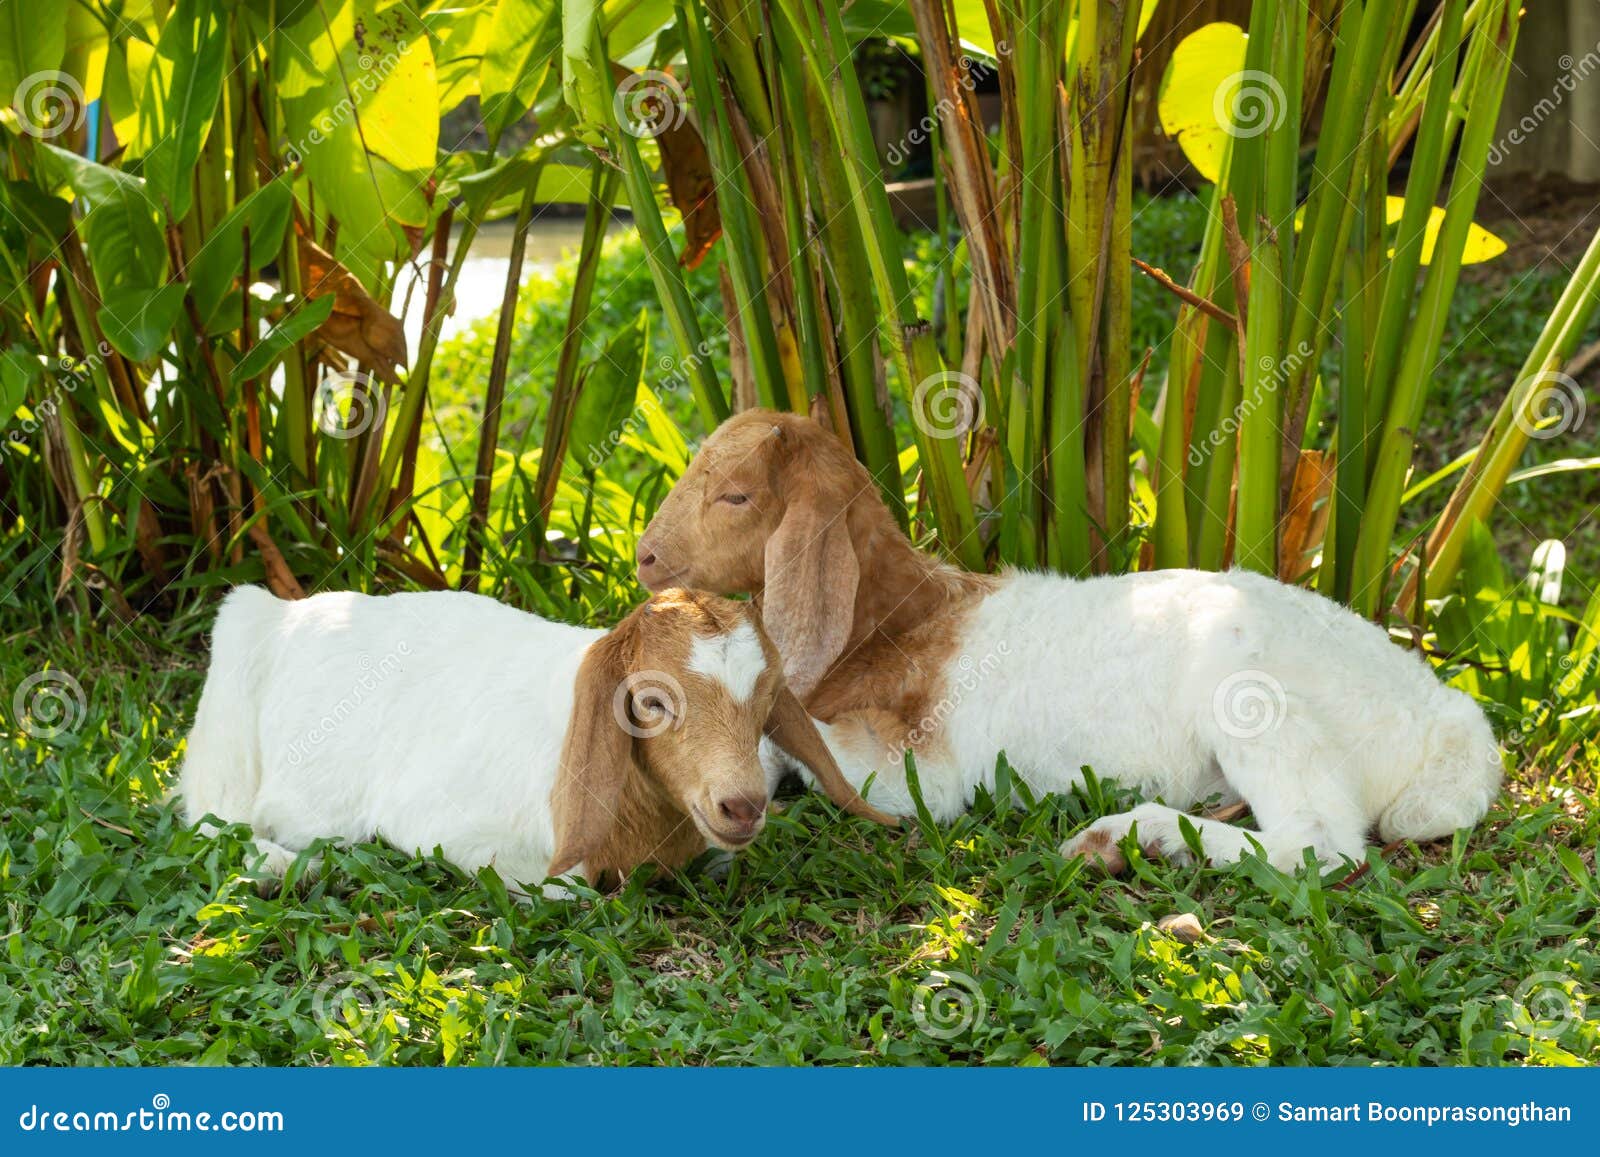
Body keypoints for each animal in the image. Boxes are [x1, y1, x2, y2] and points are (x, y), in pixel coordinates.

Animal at [178, 584, 896, 895]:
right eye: (652, 702)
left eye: (769, 695)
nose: (743, 805)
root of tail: (280, 613)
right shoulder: (446, 828)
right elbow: (565, 888)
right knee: (216, 818)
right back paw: (285, 867)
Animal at [635, 410, 1503, 873]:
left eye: (736, 496)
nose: (643, 555)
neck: (897, 623)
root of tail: (1448, 725)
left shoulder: (919, 777)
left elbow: (801, 751)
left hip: (1249, 693)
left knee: (1321, 844)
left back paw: (1126, 836)